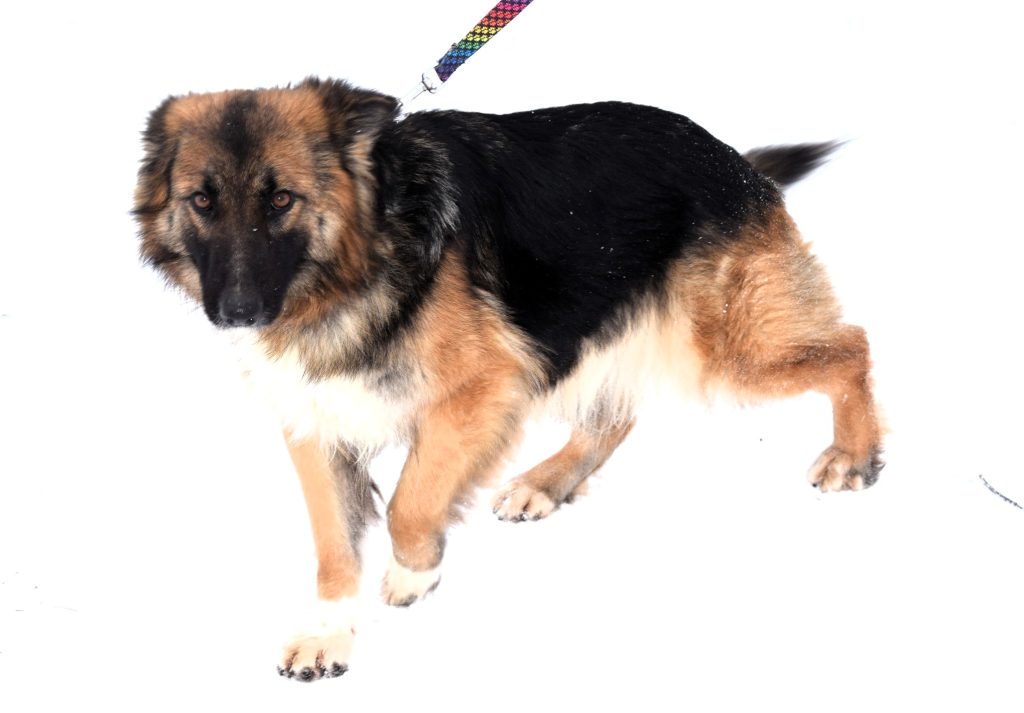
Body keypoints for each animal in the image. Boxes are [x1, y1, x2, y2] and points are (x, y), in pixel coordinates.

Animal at [133, 77, 882, 681]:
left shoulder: (482, 389)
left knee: (852, 346)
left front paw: (414, 571)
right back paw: (546, 483)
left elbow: (410, 502)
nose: (236, 310)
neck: (362, 255)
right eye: (202, 202)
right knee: (615, 415)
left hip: (723, 349)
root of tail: (728, 158)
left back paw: (854, 454)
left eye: (282, 199)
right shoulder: (318, 421)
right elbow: (332, 546)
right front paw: (328, 633)